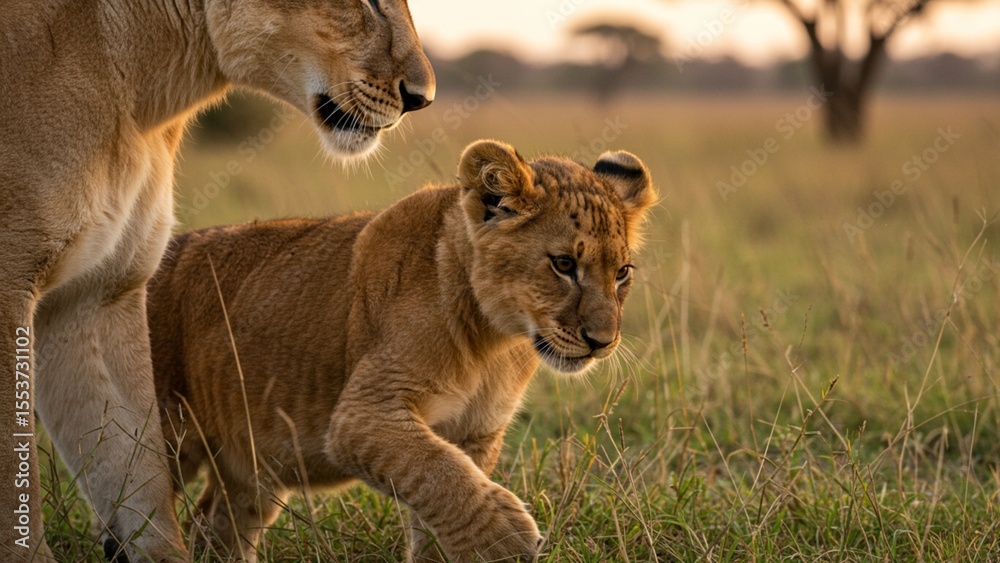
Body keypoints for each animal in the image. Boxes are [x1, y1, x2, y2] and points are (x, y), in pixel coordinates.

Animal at [0, 1, 434, 560]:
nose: (422, 98)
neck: (144, 102)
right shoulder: (11, 285)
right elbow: (14, 483)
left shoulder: (96, 295)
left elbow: (135, 471)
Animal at [147, 139, 657, 562]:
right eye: (564, 264)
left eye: (622, 273)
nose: (603, 342)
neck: (495, 342)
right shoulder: (361, 416)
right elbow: (440, 473)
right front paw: (508, 540)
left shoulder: (474, 433)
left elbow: (440, 500)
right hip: (162, 437)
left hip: (249, 468)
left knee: (214, 522)